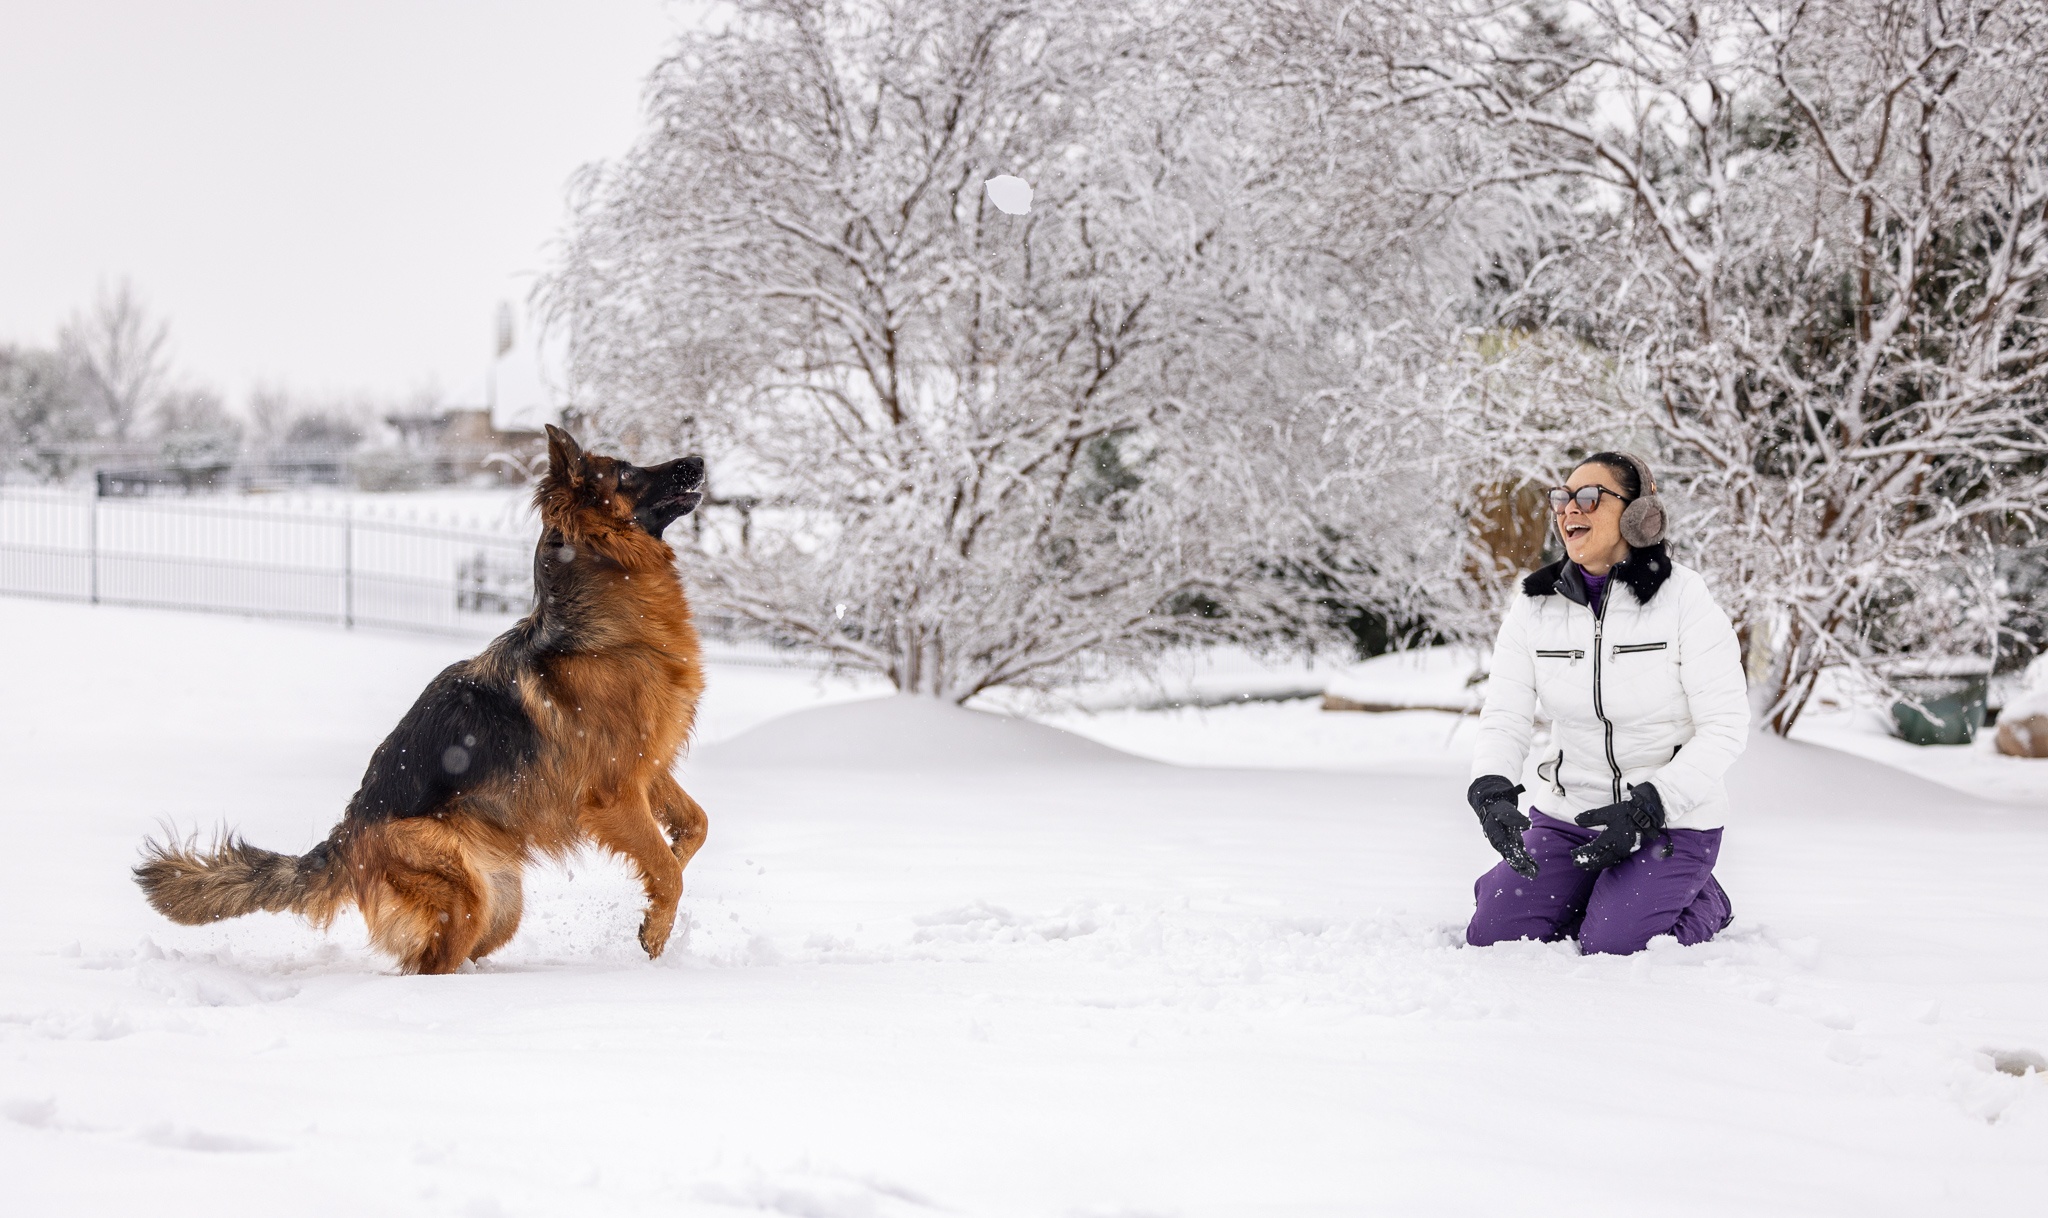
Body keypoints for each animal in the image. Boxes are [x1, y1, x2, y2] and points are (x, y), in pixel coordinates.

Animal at [138, 429, 712, 970]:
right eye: (626, 471)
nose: (699, 460)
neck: (603, 631)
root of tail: (348, 831)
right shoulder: (614, 793)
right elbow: (666, 870)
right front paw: (656, 929)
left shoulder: (648, 770)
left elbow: (694, 829)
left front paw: (661, 888)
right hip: (463, 900)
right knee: (429, 966)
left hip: (499, 906)